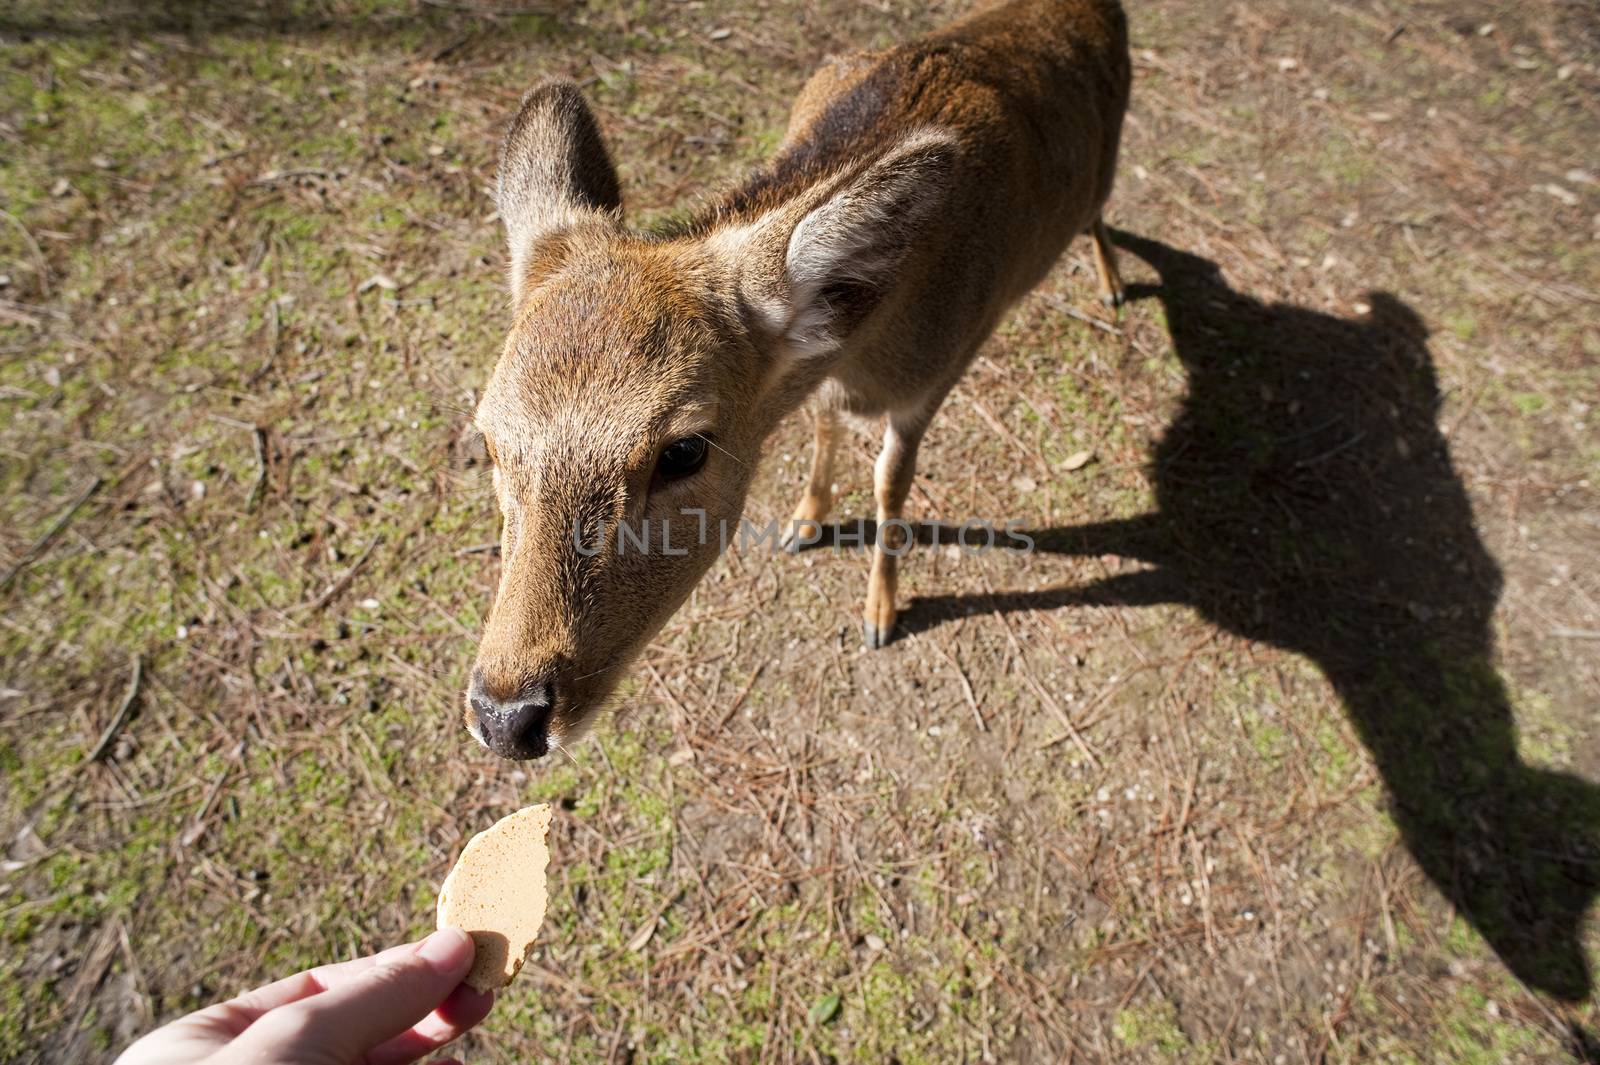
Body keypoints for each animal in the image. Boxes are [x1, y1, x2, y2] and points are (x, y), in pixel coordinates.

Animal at [467, 0, 1132, 754]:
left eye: (685, 449)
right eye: (486, 439)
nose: (507, 715)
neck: (871, 345)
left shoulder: (936, 377)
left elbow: (891, 483)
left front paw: (881, 613)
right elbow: (823, 425)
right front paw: (804, 522)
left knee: (1103, 213)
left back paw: (1115, 284)